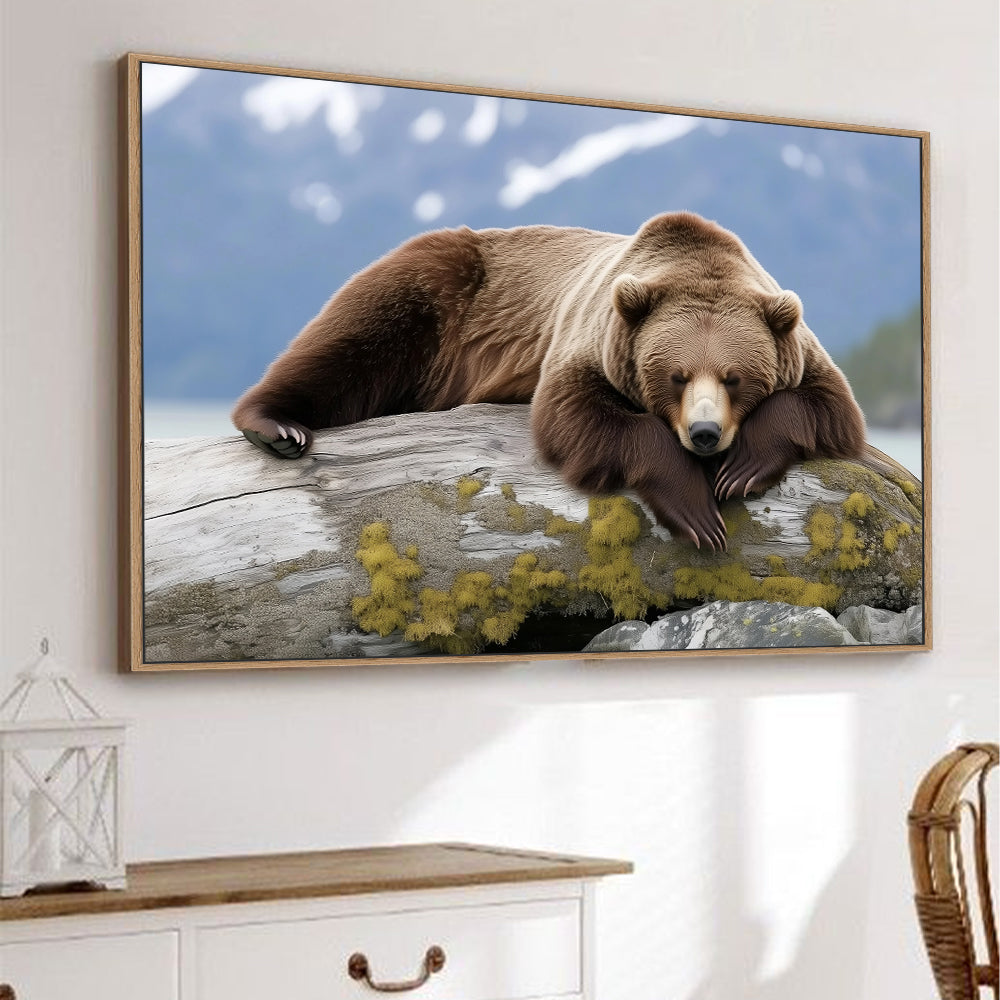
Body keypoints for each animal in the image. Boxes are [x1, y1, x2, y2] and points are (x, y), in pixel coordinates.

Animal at [232, 211, 866, 551]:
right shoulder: (590, 336)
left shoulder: (798, 344)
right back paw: (276, 425)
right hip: (440, 290)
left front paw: (742, 469)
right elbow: (577, 417)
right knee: (352, 338)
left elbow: (828, 405)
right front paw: (694, 510)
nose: (706, 434)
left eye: (734, 378)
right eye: (676, 376)